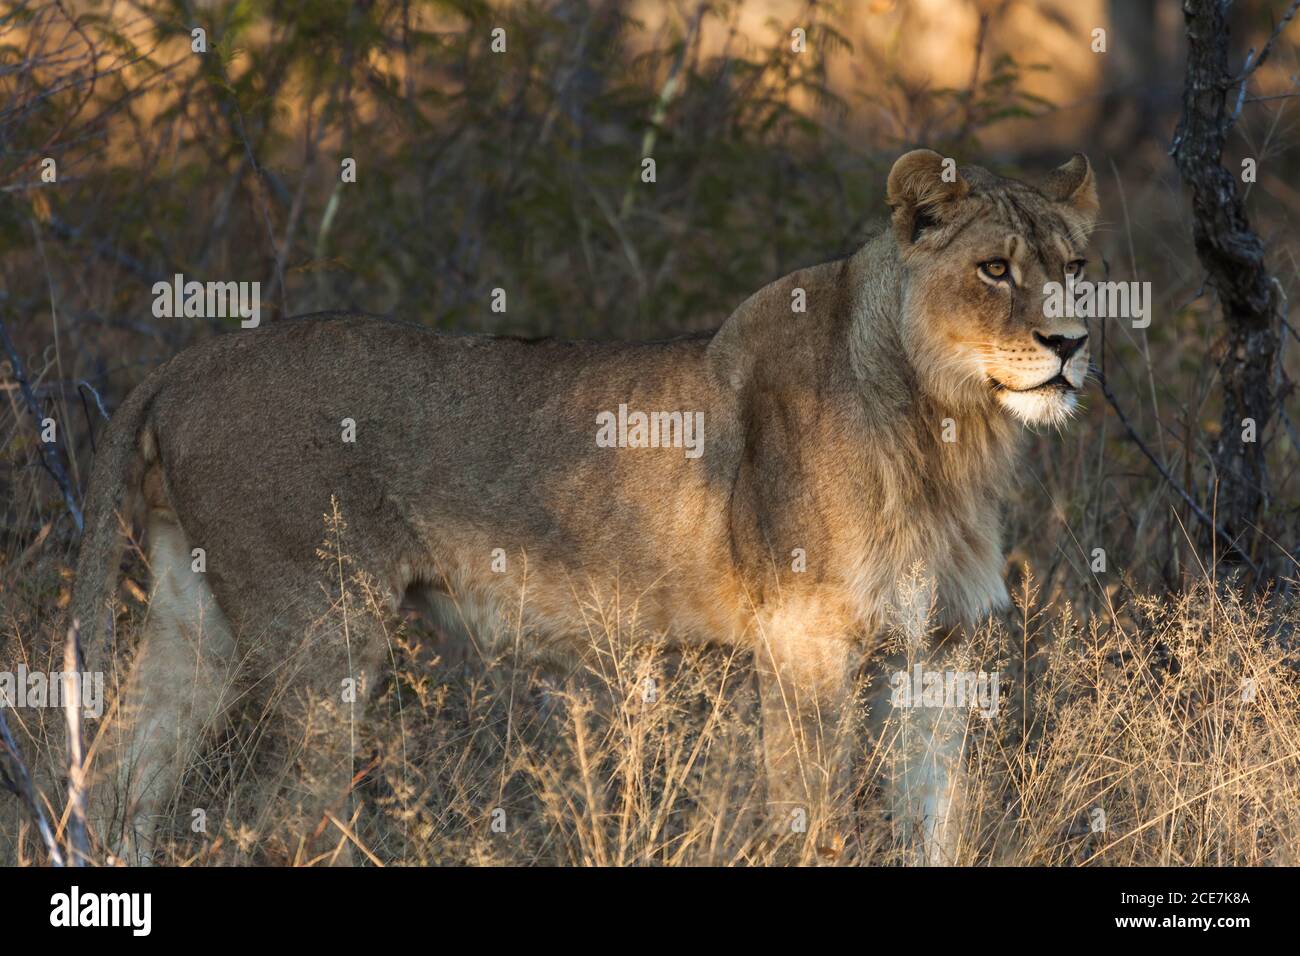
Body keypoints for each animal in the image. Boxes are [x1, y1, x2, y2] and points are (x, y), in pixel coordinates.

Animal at [73, 147, 1097, 858]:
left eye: (1076, 268)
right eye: (996, 270)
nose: (1072, 343)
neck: (949, 430)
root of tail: (189, 360)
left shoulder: (939, 650)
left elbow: (938, 825)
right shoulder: (806, 640)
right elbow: (815, 818)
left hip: (195, 616)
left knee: (120, 780)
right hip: (323, 633)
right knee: (282, 820)